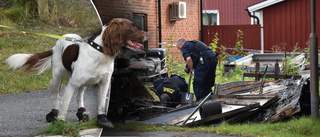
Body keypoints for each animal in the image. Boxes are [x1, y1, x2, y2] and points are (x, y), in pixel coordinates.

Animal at [5, 18, 149, 128]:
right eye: (132, 27)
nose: (148, 34)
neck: (100, 52)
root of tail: (57, 43)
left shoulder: (105, 82)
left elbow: (102, 103)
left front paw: (102, 120)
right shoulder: (72, 84)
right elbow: (65, 103)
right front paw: (61, 121)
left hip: (84, 81)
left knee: (79, 96)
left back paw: (81, 113)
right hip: (58, 75)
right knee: (57, 97)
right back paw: (53, 114)